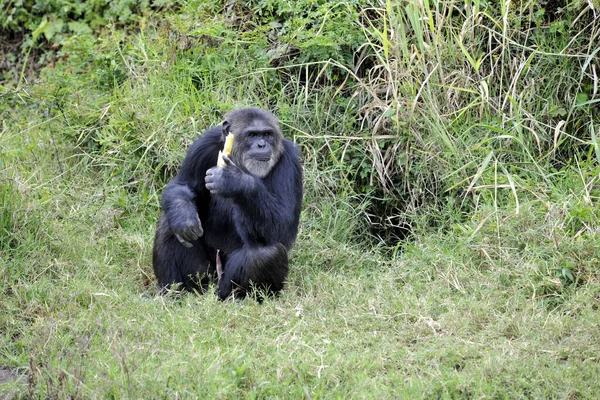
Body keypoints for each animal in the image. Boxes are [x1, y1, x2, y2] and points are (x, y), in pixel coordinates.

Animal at [152, 108, 302, 298]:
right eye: (252, 135)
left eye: (267, 134)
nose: (262, 145)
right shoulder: (201, 147)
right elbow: (182, 184)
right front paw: (183, 217)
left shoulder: (290, 162)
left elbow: (283, 224)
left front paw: (234, 180)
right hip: (204, 278)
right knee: (169, 224)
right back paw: (175, 292)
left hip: (223, 284)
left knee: (267, 254)